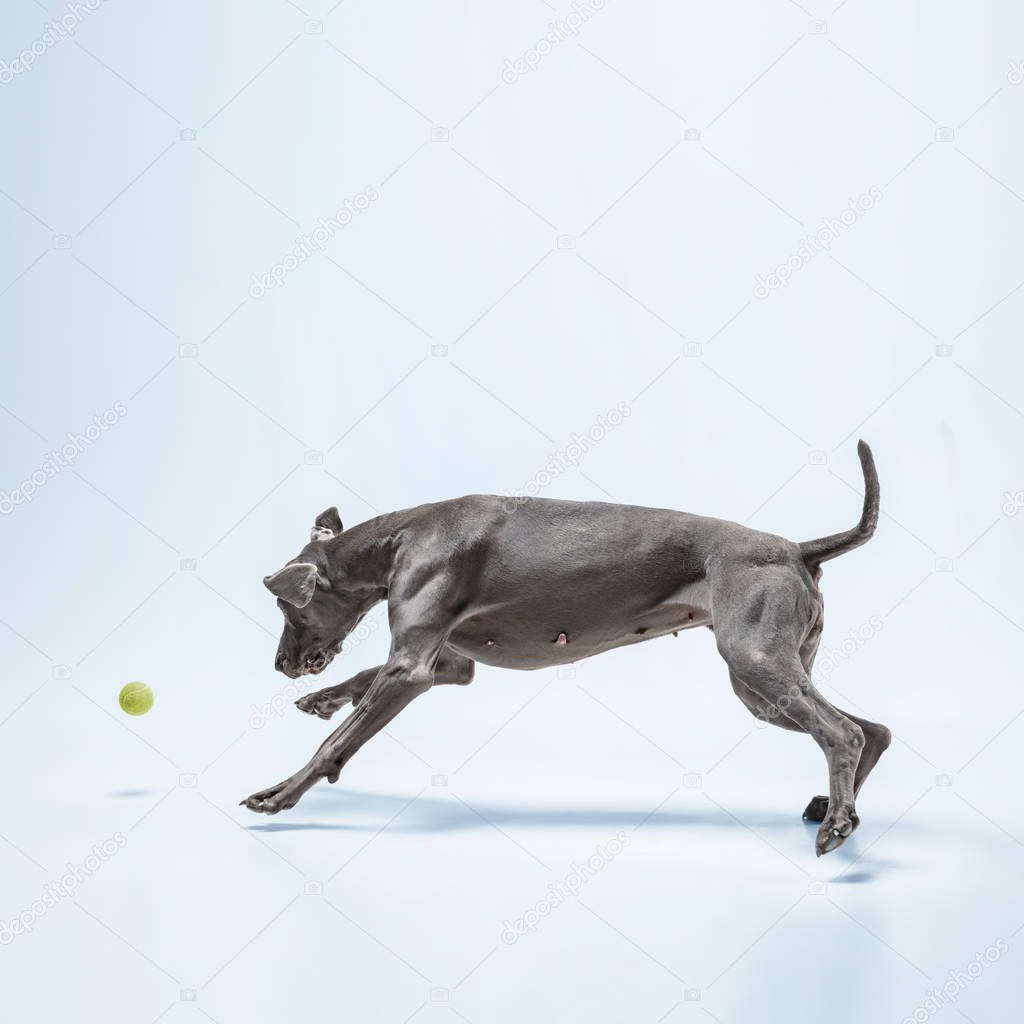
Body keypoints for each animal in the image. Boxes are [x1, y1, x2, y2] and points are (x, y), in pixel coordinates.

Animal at [241, 440, 888, 856]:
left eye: (285, 608)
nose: (281, 665)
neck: (399, 539)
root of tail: (798, 548)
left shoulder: (412, 668)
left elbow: (336, 742)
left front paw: (278, 794)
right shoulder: (449, 661)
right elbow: (368, 684)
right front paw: (324, 699)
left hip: (753, 659)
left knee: (842, 731)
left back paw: (836, 824)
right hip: (761, 683)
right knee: (871, 730)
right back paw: (837, 809)